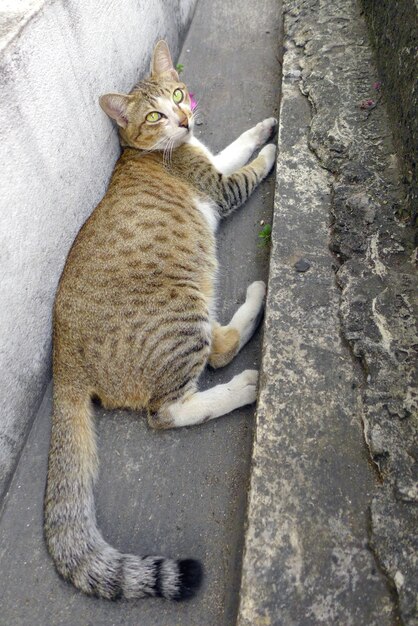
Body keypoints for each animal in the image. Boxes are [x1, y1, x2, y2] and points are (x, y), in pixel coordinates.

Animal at [44, 39, 276, 600]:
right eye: (154, 115)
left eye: (176, 94)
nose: (185, 117)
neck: (155, 151)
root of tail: (63, 358)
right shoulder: (221, 187)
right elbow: (248, 170)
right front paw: (273, 152)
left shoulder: (210, 158)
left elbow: (234, 145)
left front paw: (263, 128)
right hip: (181, 312)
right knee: (180, 397)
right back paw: (248, 363)